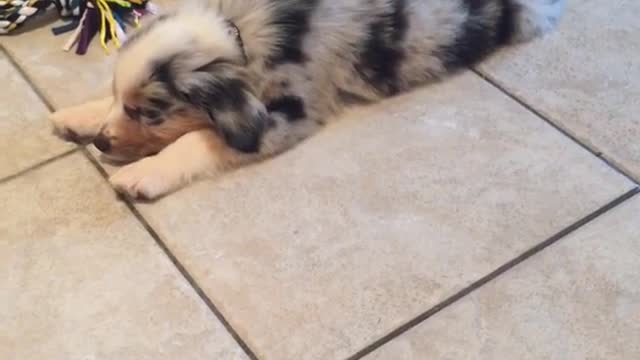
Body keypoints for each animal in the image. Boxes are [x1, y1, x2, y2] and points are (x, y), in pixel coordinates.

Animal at [48, 0, 564, 200]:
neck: (239, 33)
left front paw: (140, 175)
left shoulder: (285, 113)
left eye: (150, 114)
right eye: (123, 103)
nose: (101, 144)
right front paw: (76, 116)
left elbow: (201, 139)